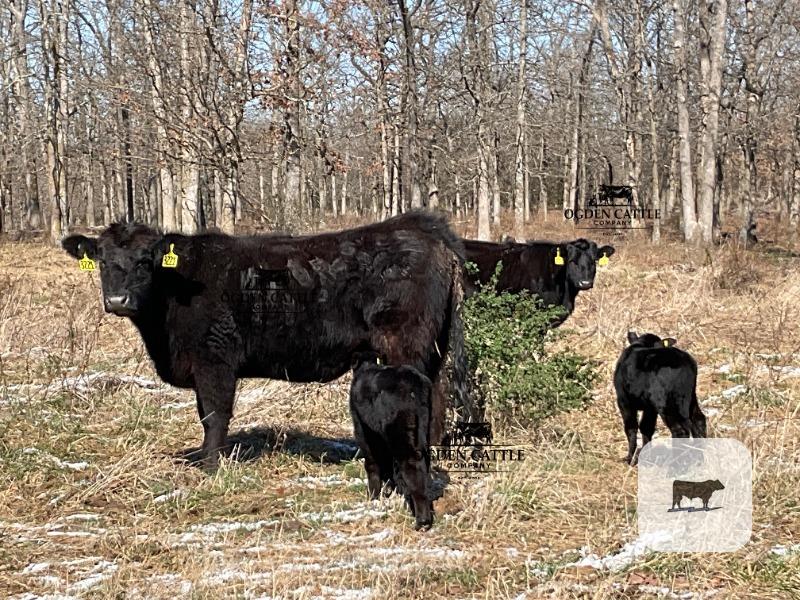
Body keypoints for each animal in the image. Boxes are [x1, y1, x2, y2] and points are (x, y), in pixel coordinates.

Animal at [61, 212, 472, 470]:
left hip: (405, 345)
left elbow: (214, 415)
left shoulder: (214, 360)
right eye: (101, 259)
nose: (118, 300)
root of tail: (421, 227)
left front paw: (210, 465)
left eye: (146, 261)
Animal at [349, 353, 434, 530]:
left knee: (411, 465)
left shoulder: (362, 428)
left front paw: (373, 496)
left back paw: (421, 521)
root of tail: (414, 382)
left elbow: (372, 461)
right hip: (423, 427)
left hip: (399, 430)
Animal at [614, 332, 707, 465]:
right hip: (690, 396)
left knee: (679, 430)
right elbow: (646, 427)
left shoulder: (623, 400)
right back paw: (699, 458)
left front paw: (630, 459)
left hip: (664, 402)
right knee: (699, 420)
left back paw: (676, 464)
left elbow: (631, 428)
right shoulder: (650, 408)